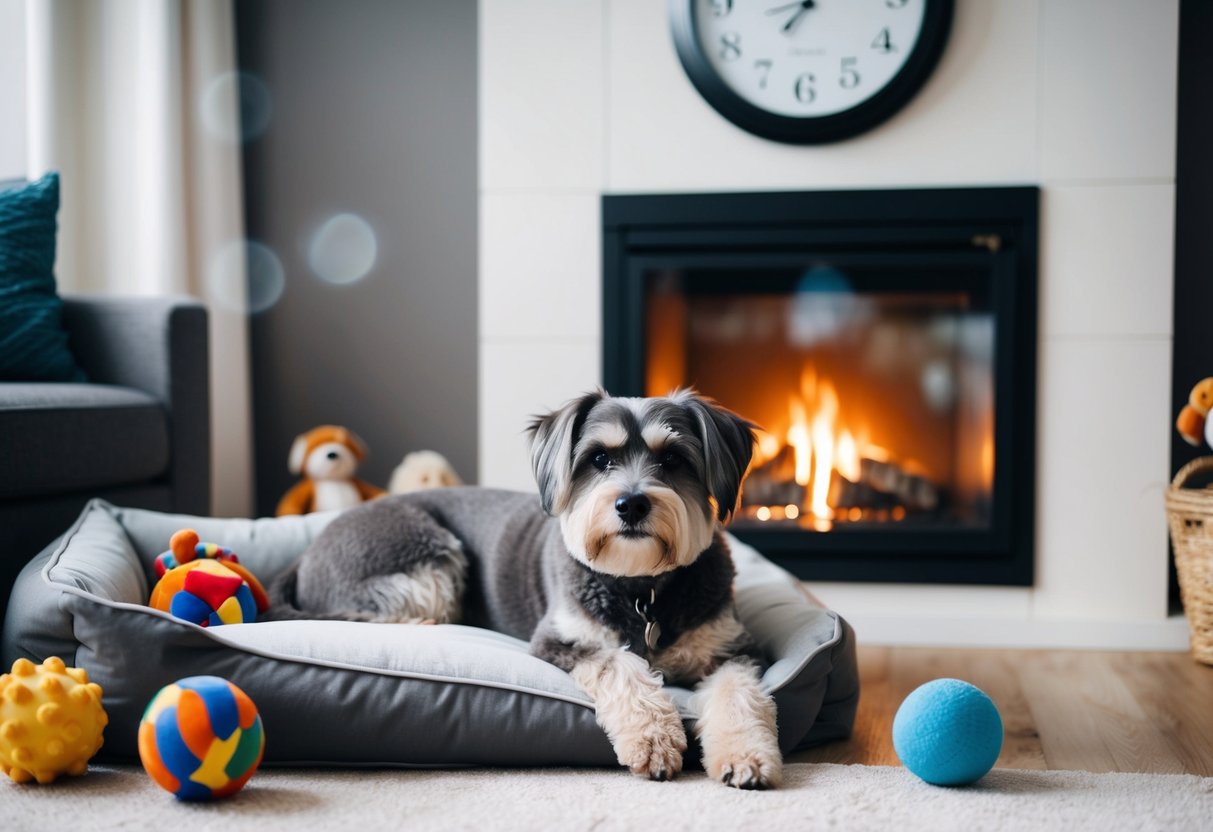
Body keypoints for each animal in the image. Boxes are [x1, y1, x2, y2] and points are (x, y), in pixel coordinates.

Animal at [269, 388, 781, 790]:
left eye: (673, 459)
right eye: (599, 458)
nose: (631, 504)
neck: (640, 586)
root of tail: (306, 554)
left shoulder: (732, 648)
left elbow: (739, 692)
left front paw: (746, 757)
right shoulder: (564, 640)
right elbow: (622, 666)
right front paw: (653, 740)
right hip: (428, 557)